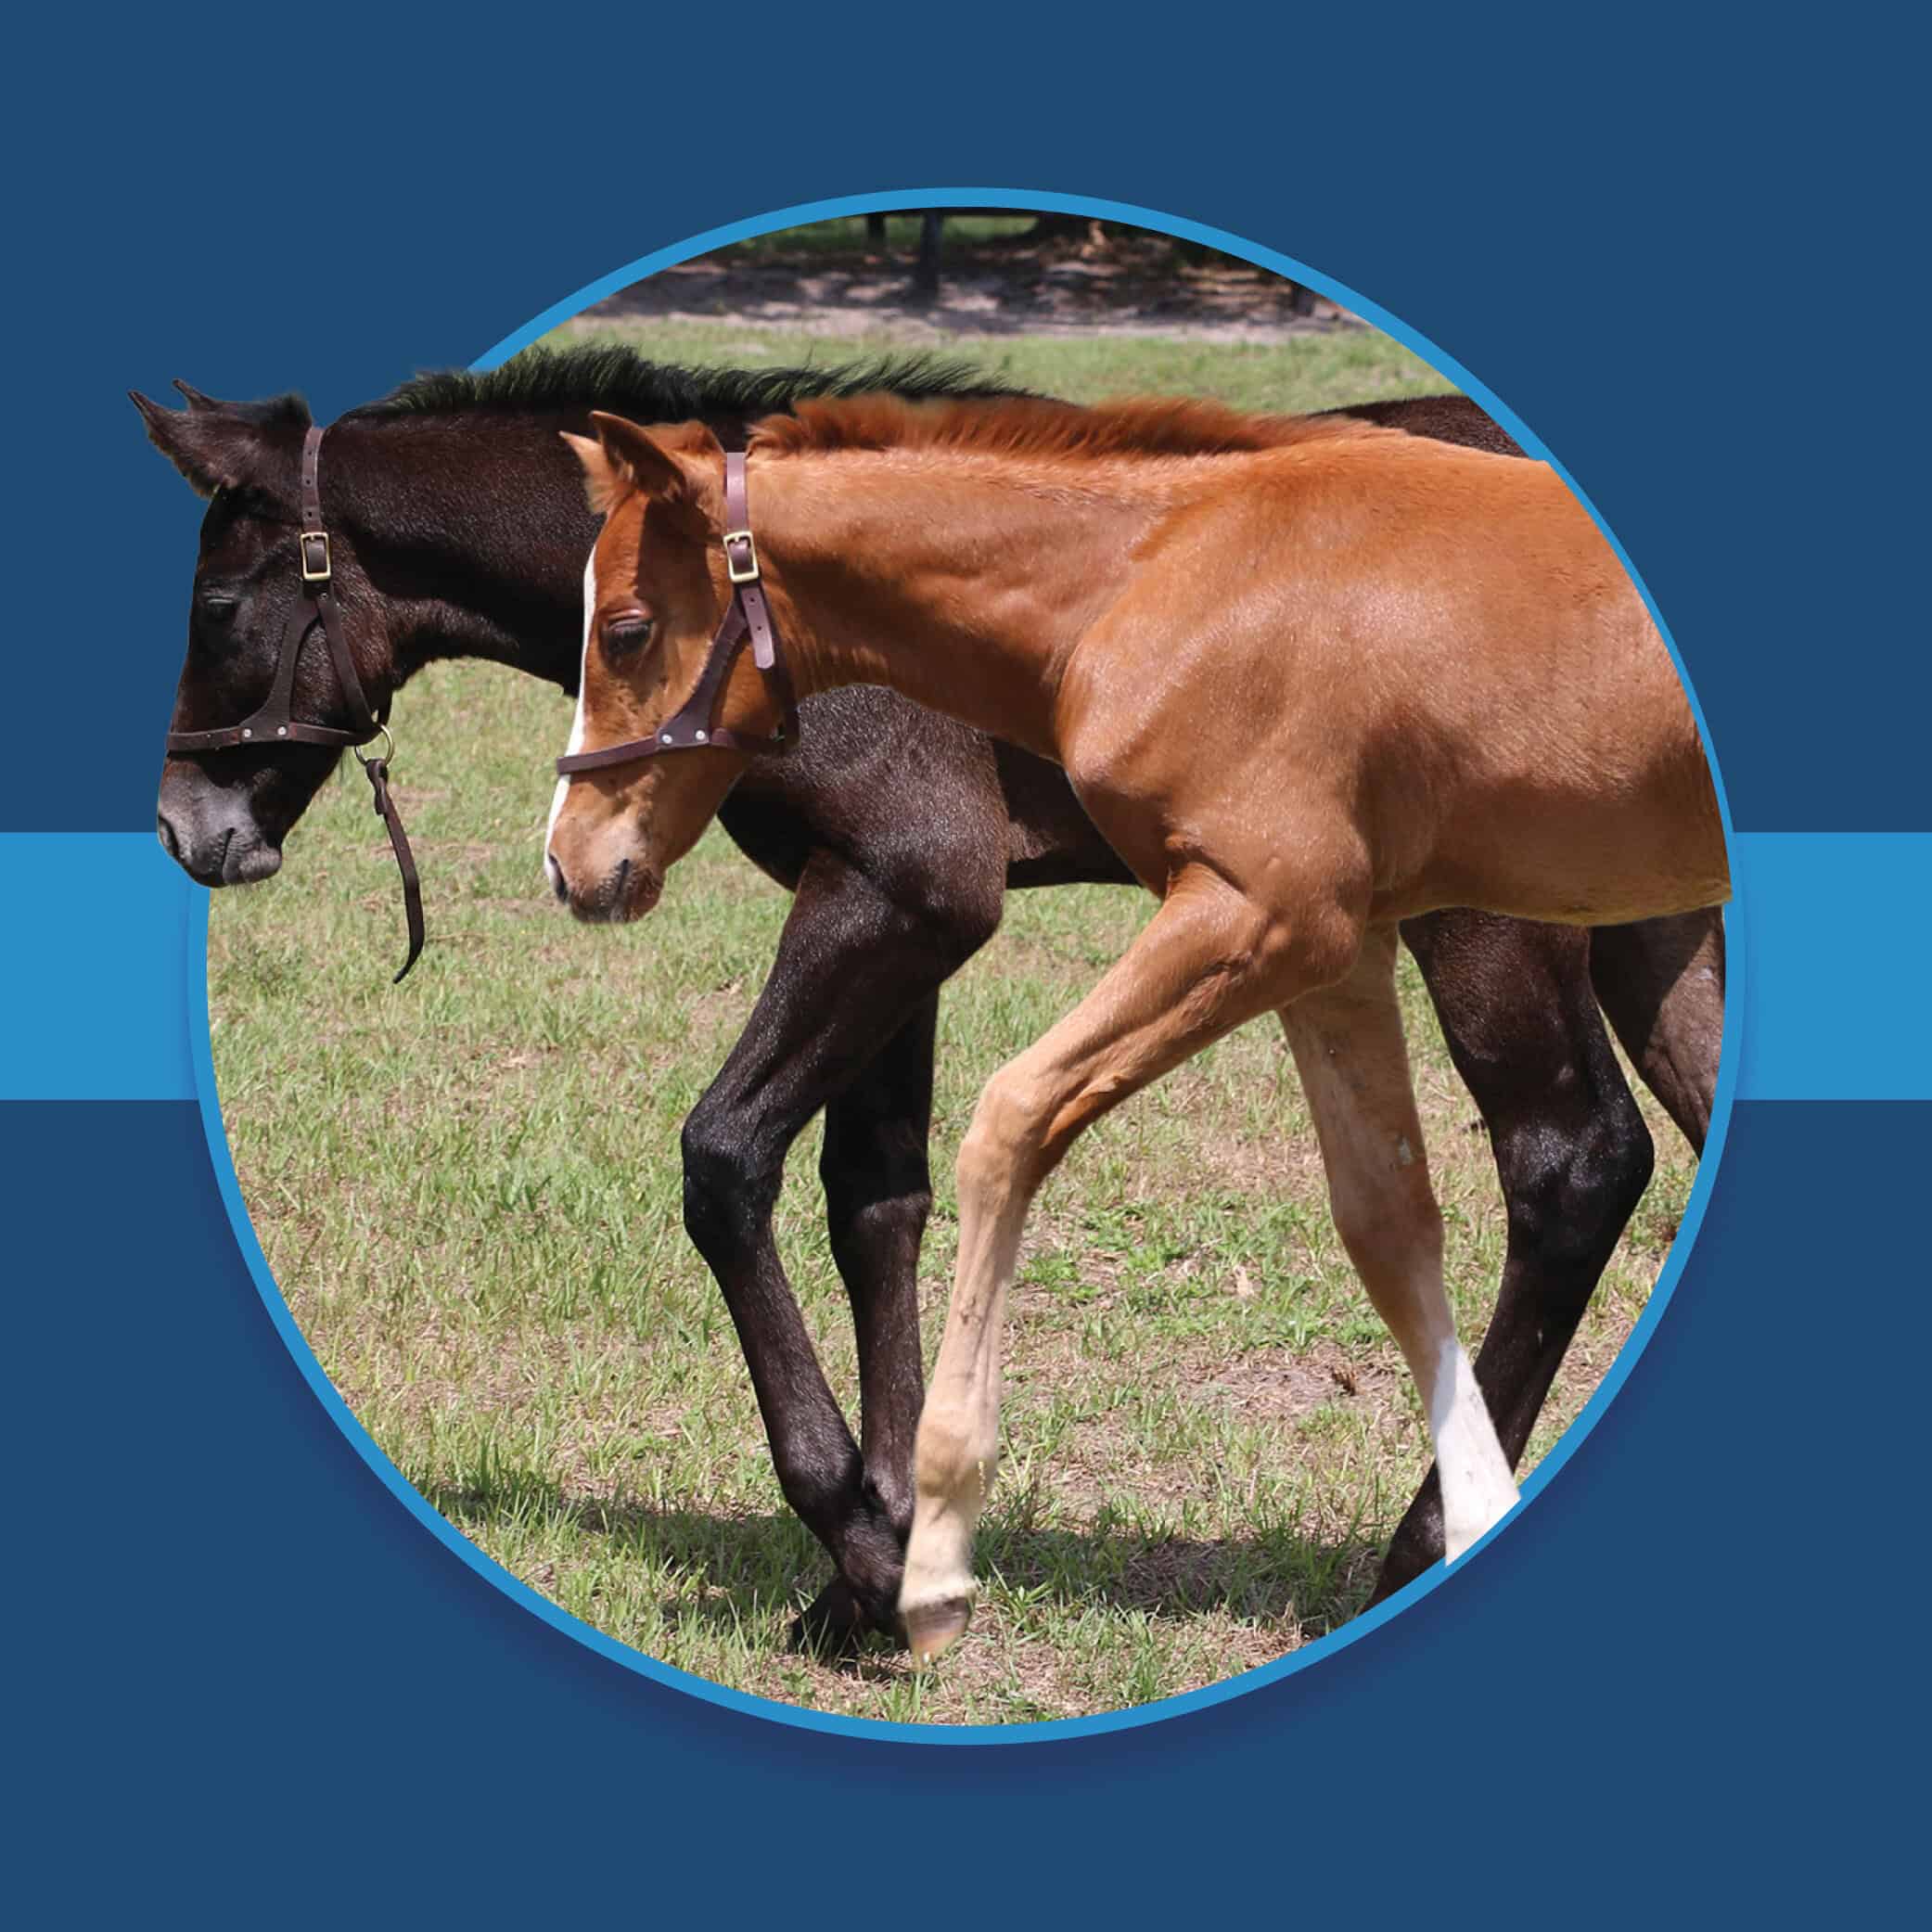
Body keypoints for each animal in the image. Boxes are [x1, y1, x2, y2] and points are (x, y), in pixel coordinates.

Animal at [135, 348, 1719, 1647]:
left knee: (1571, 1161)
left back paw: (1417, 1541)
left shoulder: (900, 894)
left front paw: (853, 1533)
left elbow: (728, 1159)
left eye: (216, 601)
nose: (184, 827)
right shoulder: (889, 918)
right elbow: (872, 1195)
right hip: (1644, 928)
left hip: (1486, 921)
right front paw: (888, 1563)